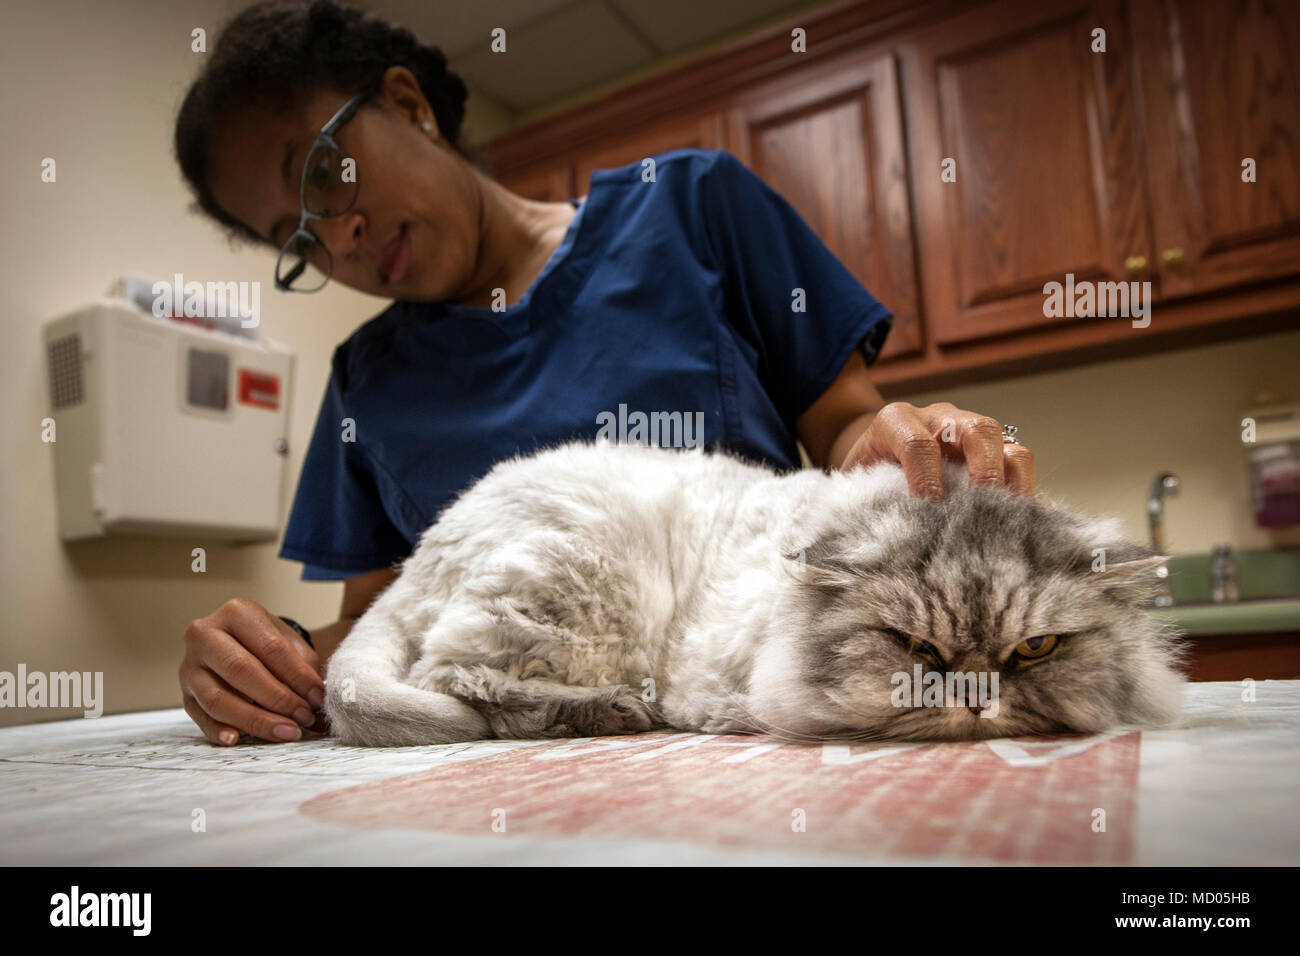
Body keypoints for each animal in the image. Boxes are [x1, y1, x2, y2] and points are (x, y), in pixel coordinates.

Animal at [319, 442, 1185, 749]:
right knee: (464, 684)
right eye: (917, 649)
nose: (975, 699)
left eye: (1035, 649)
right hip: (585, 583)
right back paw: (610, 713)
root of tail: (412, 561)